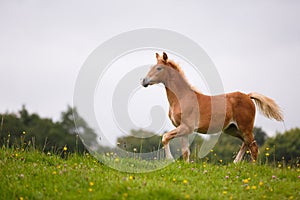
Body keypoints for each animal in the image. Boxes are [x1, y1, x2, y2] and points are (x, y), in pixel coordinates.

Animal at [142, 52, 282, 162]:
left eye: (159, 68)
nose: (143, 81)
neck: (182, 98)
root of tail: (248, 96)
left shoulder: (187, 127)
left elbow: (165, 137)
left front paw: (170, 159)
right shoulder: (183, 129)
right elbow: (185, 151)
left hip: (245, 128)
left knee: (253, 147)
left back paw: (252, 168)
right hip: (232, 129)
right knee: (246, 144)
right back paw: (235, 163)